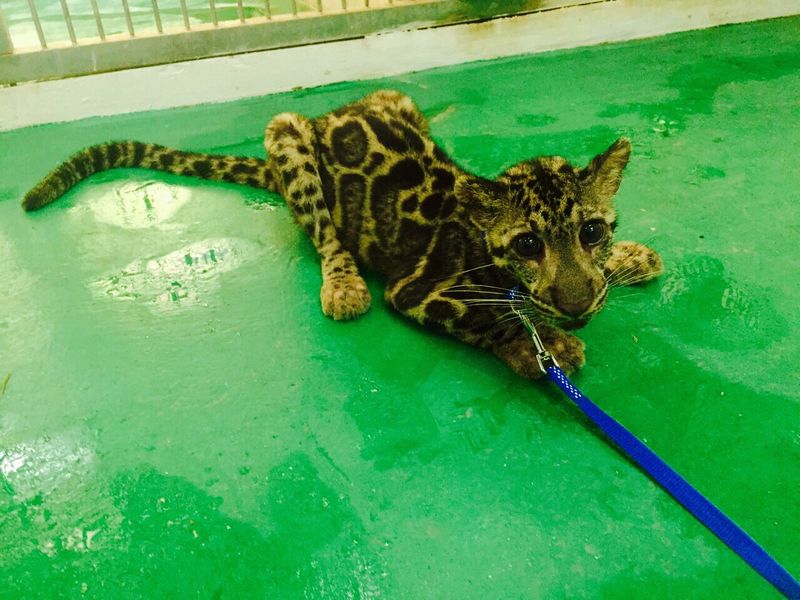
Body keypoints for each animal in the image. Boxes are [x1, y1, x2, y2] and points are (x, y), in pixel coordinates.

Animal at [21, 90, 662, 379]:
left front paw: (626, 259)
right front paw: (543, 346)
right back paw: (343, 287)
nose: (576, 306)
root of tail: (328, 114)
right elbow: (491, 317)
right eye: (529, 244)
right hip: (285, 134)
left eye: (592, 231)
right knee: (326, 237)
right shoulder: (418, 289)